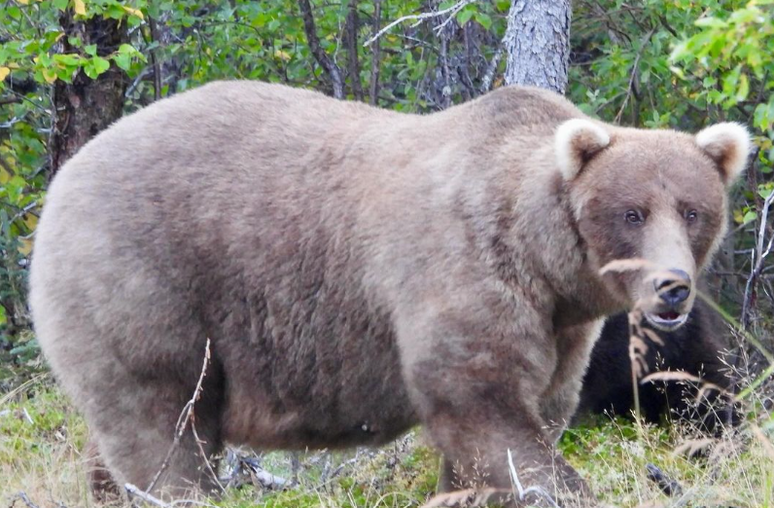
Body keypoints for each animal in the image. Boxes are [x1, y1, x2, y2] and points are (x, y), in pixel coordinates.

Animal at [30, 82, 752, 504]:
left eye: (692, 211)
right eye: (632, 212)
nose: (671, 289)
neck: (543, 259)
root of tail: (65, 174)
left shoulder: (562, 326)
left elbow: (540, 406)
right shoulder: (461, 268)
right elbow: (483, 404)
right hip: (148, 281)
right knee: (164, 426)